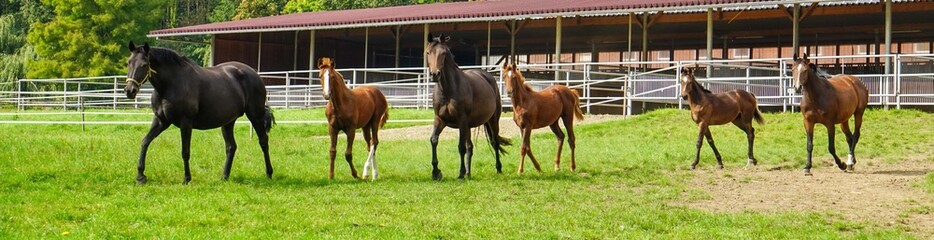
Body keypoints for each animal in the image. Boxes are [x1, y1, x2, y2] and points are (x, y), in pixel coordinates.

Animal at [123, 41, 274, 184]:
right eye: (128, 63)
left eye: (144, 65)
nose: (130, 90)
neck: (171, 84)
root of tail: (255, 74)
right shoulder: (161, 120)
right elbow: (145, 141)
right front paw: (140, 176)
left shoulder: (185, 122)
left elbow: (185, 151)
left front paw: (187, 178)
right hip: (228, 122)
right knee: (231, 147)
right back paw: (224, 177)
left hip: (255, 116)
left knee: (263, 141)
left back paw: (269, 173)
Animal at [426, 33, 512, 180]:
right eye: (428, 52)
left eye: (443, 53)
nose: (435, 74)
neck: (448, 90)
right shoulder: (440, 119)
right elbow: (434, 140)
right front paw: (436, 172)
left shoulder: (461, 120)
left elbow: (461, 147)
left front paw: (460, 173)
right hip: (469, 126)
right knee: (470, 147)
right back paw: (468, 173)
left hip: (493, 120)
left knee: (494, 142)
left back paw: (498, 168)